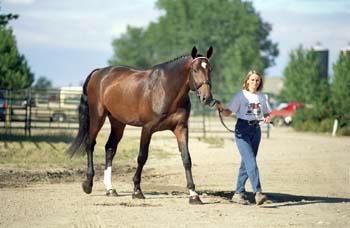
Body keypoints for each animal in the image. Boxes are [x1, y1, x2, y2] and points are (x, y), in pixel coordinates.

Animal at [65, 45, 213, 204]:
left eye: (210, 69)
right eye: (195, 70)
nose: (207, 98)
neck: (166, 89)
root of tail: (98, 73)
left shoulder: (181, 128)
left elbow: (186, 159)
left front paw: (193, 195)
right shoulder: (147, 128)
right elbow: (142, 157)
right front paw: (137, 191)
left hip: (118, 123)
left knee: (110, 148)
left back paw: (110, 189)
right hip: (97, 117)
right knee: (90, 144)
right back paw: (88, 184)